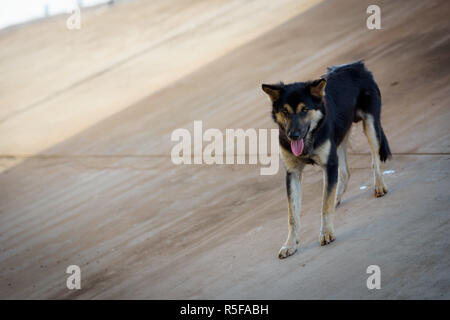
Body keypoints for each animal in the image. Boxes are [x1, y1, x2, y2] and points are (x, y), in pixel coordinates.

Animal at [262, 60, 392, 260]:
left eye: (305, 109)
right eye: (284, 111)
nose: (293, 135)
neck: (310, 137)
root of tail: (356, 65)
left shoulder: (329, 165)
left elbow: (324, 205)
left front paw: (326, 232)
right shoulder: (293, 173)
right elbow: (293, 215)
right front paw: (290, 244)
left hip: (370, 125)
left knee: (374, 158)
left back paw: (379, 186)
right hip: (340, 138)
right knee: (345, 173)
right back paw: (337, 196)